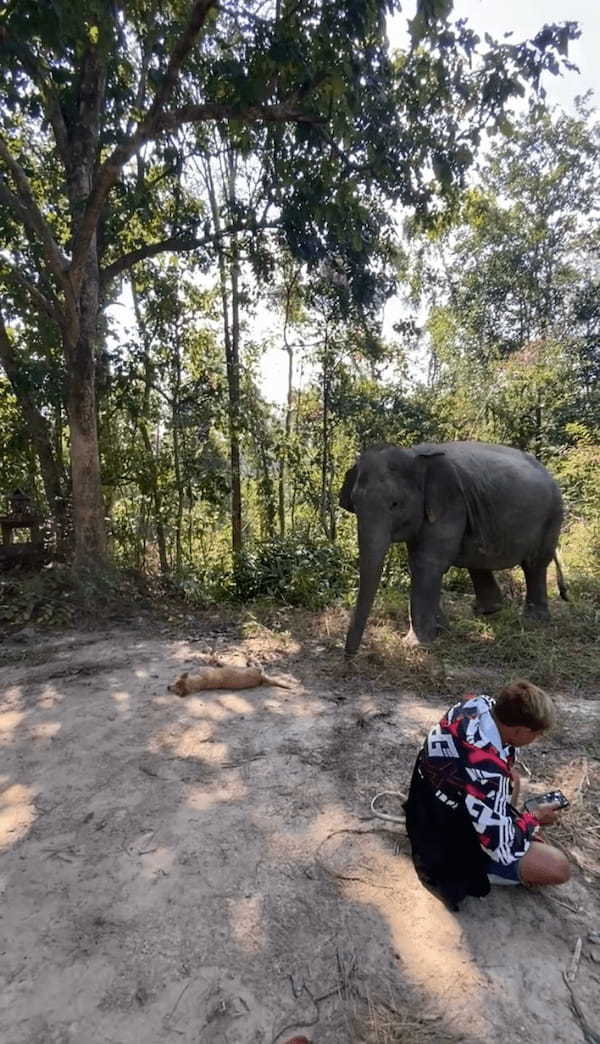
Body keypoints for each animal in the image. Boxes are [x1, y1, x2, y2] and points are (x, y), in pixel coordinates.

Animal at [338, 438, 567, 651]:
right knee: (478, 561)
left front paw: (416, 645)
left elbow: (427, 563)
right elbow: (420, 563)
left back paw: (533, 620)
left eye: (395, 504)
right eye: (355, 503)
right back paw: (488, 611)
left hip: (552, 515)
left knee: (535, 564)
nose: (349, 658)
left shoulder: (450, 504)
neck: (412, 454)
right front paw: (442, 631)